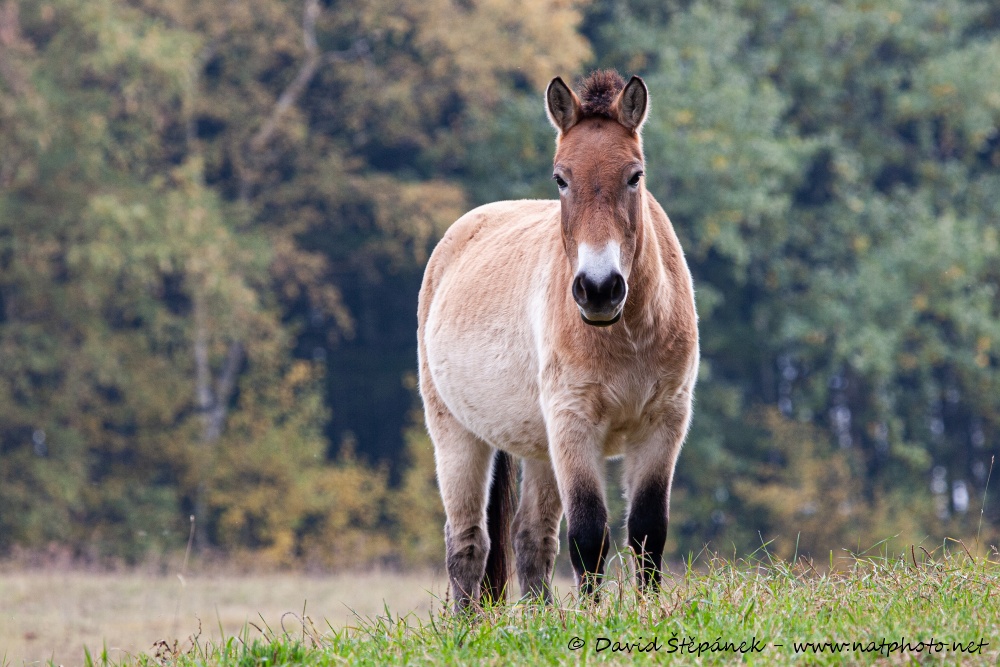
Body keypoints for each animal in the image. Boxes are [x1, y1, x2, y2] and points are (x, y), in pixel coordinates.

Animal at [418, 69, 700, 612]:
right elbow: (589, 535)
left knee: (531, 541)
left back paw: (539, 618)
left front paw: (649, 614)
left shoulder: (664, 424)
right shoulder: (574, 424)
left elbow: (647, 532)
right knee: (468, 544)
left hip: (538, 447)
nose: (599, 288)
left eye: (635, 175)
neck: (626, 335)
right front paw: (594, 620)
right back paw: (468, 625)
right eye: (560, 179)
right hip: (457, 435)